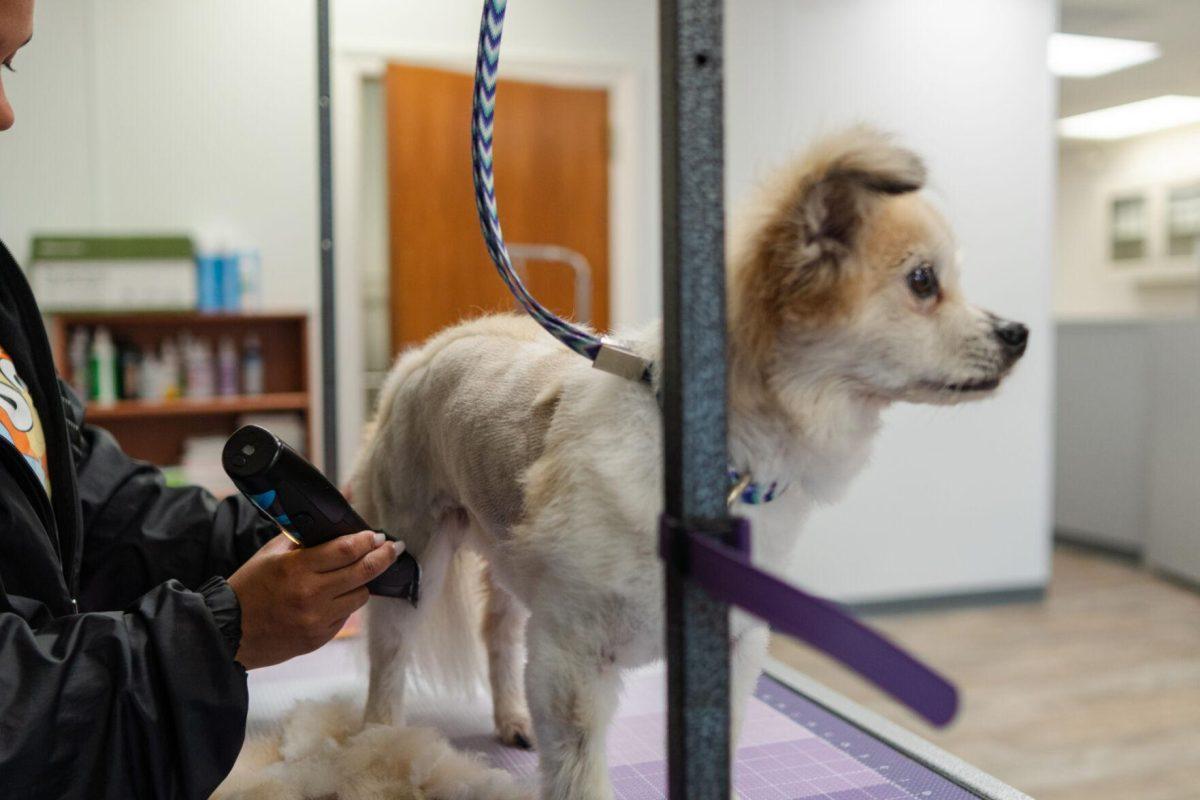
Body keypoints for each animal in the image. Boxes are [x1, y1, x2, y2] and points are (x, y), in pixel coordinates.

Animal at [350, 126, 1027, 800]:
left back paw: (511, 718)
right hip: (415, 559)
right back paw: (379, 742)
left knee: (497, 632)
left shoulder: (729, 648)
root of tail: (430, 350)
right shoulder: (572, 658)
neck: (723, 470)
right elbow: (578, 775)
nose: (1019, 332)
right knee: (390, 657)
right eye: (923, 281)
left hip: (509, 552)